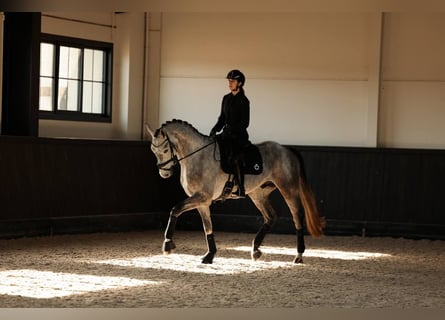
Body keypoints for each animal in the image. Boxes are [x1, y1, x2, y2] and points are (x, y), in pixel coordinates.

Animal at [147, 119, 324, 264]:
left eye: (164, 149)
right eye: (153, 150)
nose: (164, 173)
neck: (197, 156)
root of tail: (287, 150)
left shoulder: (202, 197)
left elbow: (175, 209)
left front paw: (168, 244)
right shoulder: (201, 201)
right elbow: (207, 227)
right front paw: (210, 255)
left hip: (288, 189)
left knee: (297, 216)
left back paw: (299, 255)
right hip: (258, 194)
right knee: (270, 216)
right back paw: (255, 250)